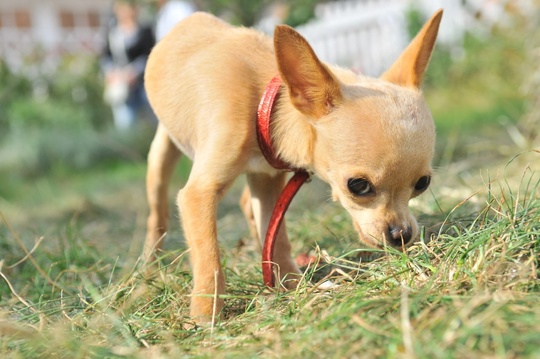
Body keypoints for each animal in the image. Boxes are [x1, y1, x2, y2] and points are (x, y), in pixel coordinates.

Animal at [143, 9, 442, 322]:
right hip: (163, 154)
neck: (263, 101)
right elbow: (208, 253)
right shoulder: (200, 193)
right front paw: (205, 312)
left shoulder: (269, 183)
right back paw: (148, 270)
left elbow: (277, 237)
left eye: (422, 184)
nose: (402, 235)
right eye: (358, 186)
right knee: (158, 214)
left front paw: (292, 285)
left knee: (248, 205)